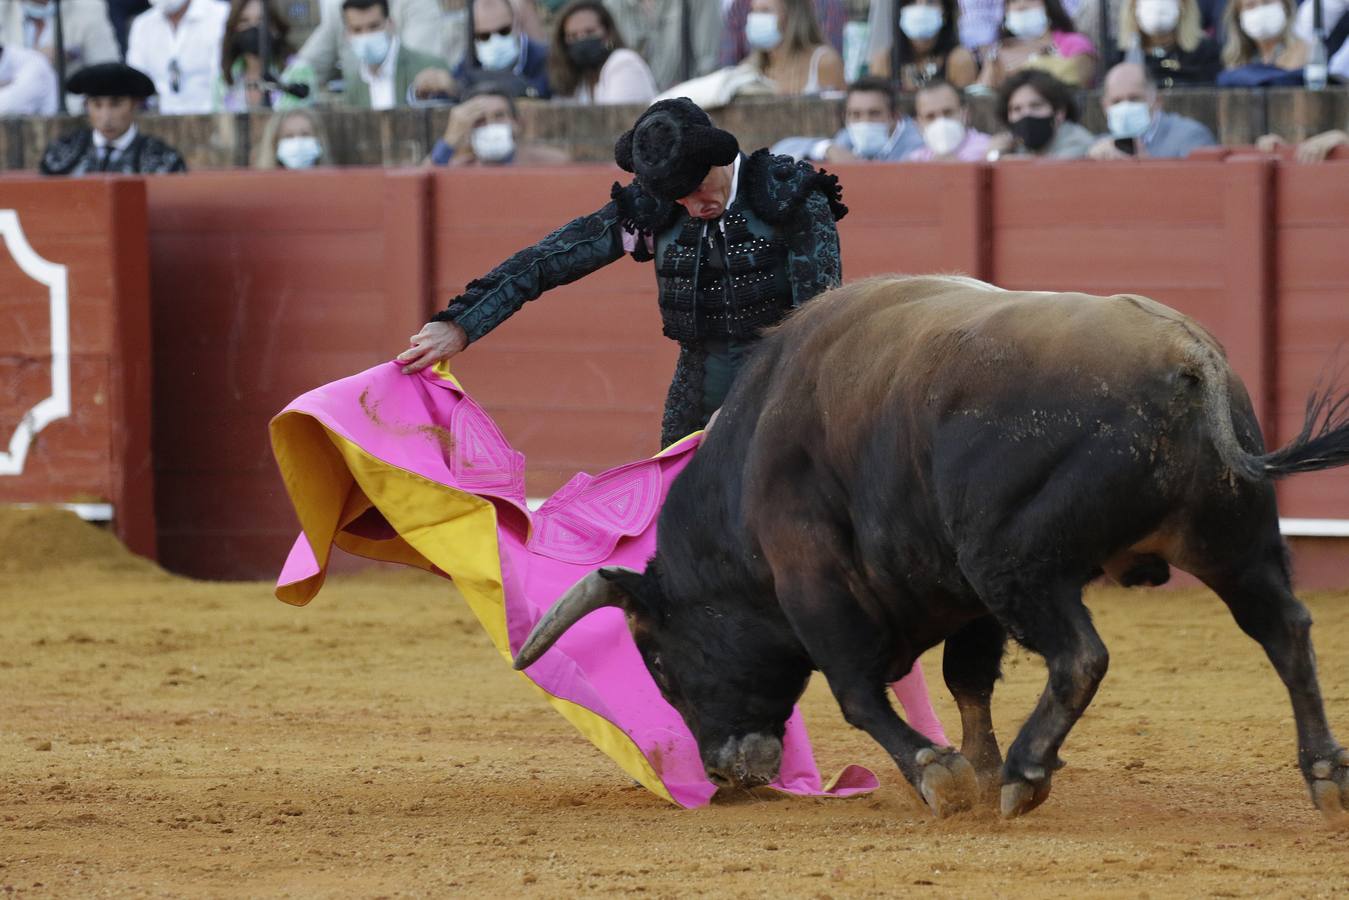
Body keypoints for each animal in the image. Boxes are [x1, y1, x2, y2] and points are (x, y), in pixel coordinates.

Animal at [509, 276, 1343, 825]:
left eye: (657, 663)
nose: (723, 768)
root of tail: (1189, 357)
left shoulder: (809, 577)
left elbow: (856, 693)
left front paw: (942, 775)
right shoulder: (962, 600)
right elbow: (965, 677)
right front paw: (975, 762)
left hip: (1015, 563)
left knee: (1080, 656)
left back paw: (1026, 773)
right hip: (1232, 545)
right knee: (1285, 632)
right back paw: (1325, 775)